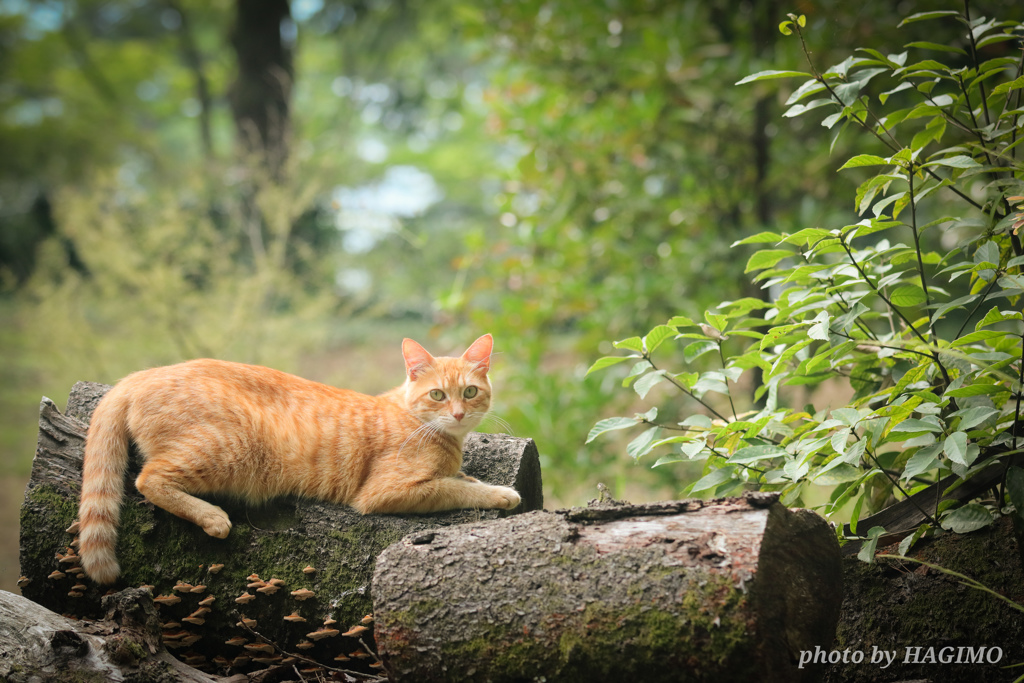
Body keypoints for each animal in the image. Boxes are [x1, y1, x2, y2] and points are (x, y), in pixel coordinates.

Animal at [77, 333, 520, 585]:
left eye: (469, 392)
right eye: (438, 396)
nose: (458, 414)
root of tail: (140, 375)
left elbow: (460, 478)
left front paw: (475, 479)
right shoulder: (385, 492)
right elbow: (454, 488)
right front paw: (499, 492)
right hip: (227, 448)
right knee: (148, 479)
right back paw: (211, 517)